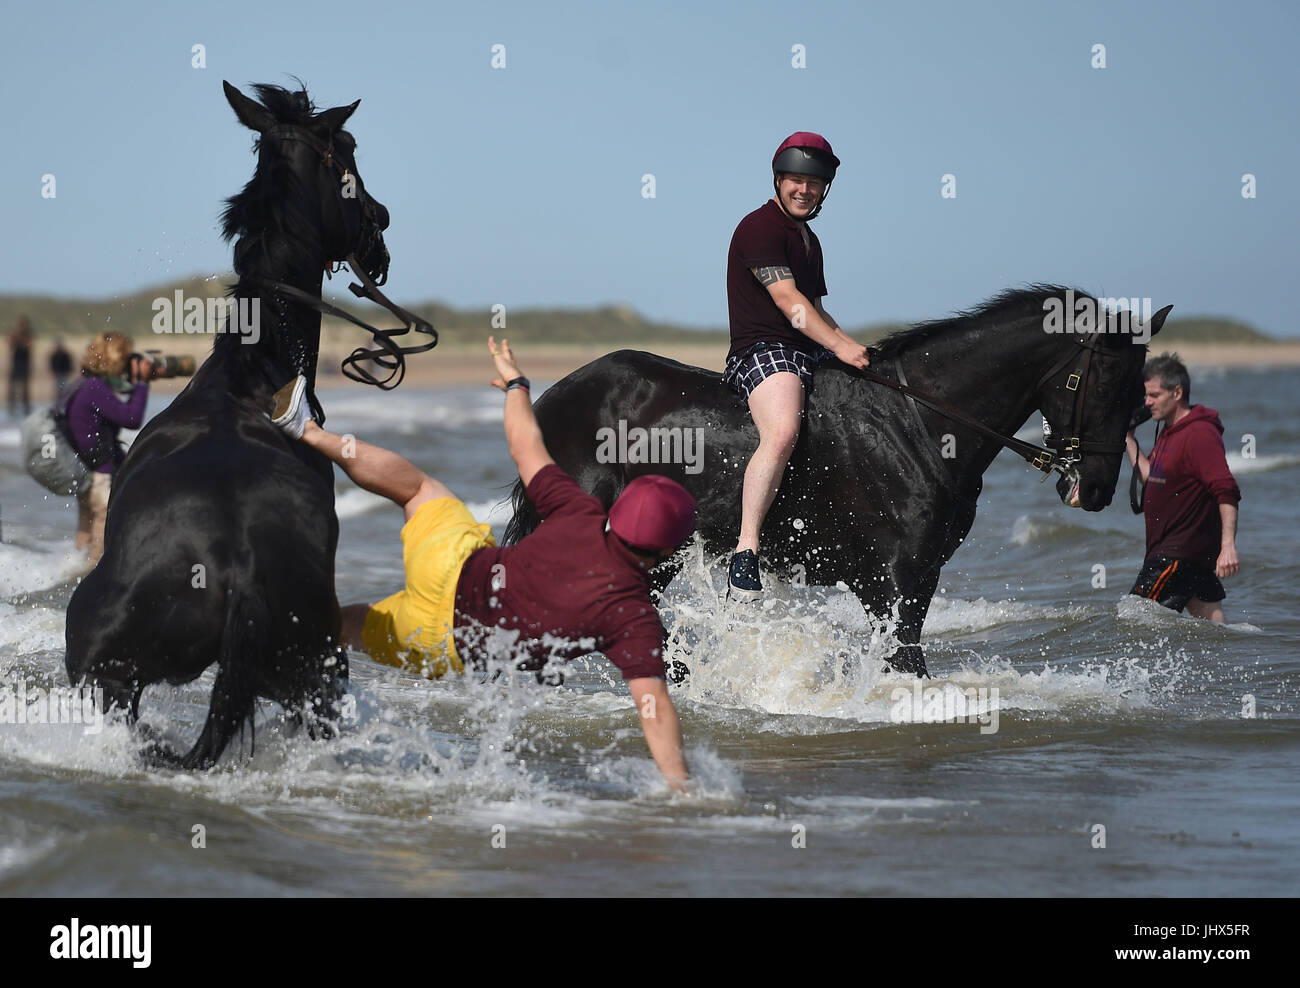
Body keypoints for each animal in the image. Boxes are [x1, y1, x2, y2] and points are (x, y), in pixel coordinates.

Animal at [65, 82, 400, 768]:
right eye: (350, 150)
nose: (382, 221)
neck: (248, 374)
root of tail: (236, 564)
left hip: (109, 675)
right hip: (311, 680)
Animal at [504, 287, 1169, 677]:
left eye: (1140, 394)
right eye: (1105, 384)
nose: (1097, 490)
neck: (920, 420)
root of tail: (553, 398)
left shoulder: (912, 578)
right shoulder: (895, 577)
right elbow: (906, 660)